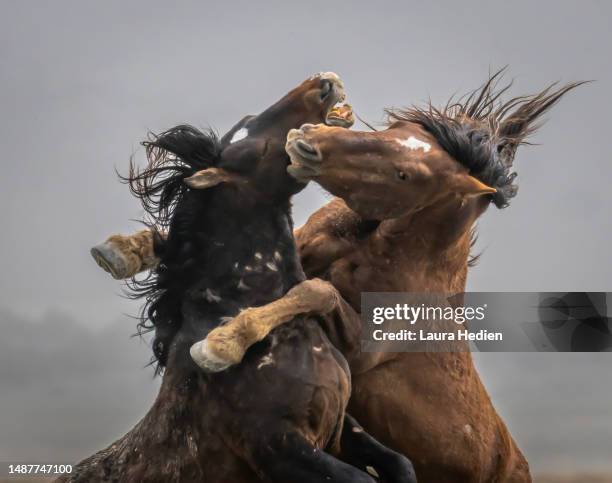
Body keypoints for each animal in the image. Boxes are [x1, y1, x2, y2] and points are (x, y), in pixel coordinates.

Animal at [59, 73, 416, 483]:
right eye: (253, 148)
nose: (324, 82)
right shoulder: (279, 447)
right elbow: (359, 478)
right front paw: (217, 348)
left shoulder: (342, 429)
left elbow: (401, 464)